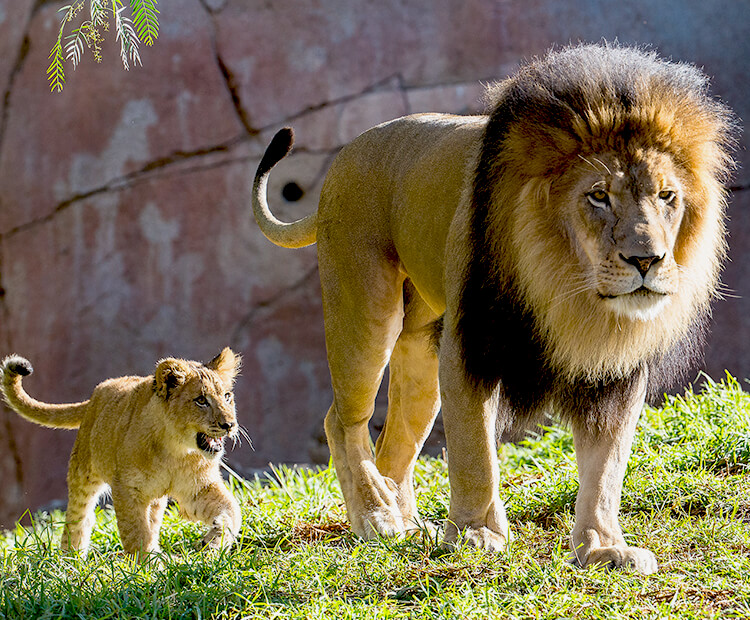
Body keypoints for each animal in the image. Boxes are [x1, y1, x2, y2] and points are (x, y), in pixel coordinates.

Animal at [251, 44, 736, 576]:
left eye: (667, 196)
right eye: (599, 196)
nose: (647, 260)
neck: (571, 292)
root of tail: (347, 152)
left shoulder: (615, 373)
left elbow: (606, 468)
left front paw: (602, 546)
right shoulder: (470, 346)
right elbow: (474, 451)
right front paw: (476, 533)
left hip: (420, 353)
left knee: (393, 442)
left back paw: (405, 524)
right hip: (365, 311)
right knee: (343, 420)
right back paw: (376, 516)